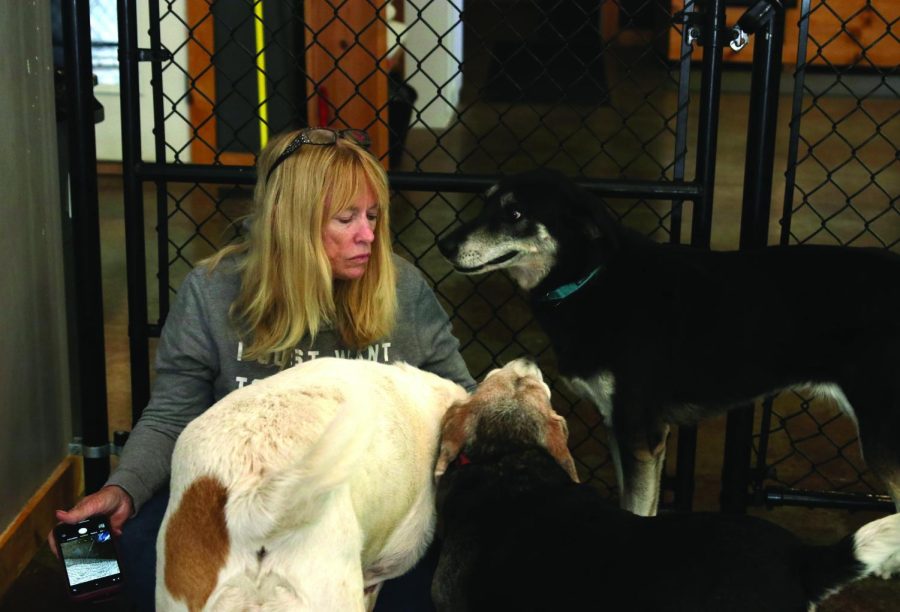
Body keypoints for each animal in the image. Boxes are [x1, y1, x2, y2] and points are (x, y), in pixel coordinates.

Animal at [438, 167, 900, 516]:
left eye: (514, 212)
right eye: (485, 203)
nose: (444, 245)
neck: (592, 279)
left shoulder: (639, 433)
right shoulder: (621, 430)